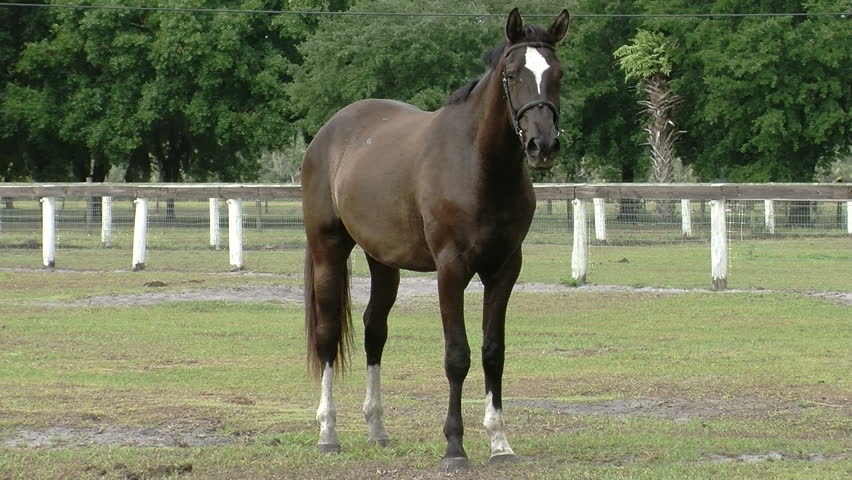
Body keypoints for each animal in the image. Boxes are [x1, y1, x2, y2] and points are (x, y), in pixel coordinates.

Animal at [301, 8, 570, 470]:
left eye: (558, 74)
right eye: (513, 73)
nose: (543, 145)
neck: (479, 164)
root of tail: (327, 133)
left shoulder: (504, 269)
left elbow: (493, 351)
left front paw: (500, 443)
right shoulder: (451, 269)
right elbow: (457, 355)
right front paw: (454, 446)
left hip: (382, 261)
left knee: (374, 330)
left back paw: (377, 429)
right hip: (328, 251)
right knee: (328, 333)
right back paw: (328, 433)